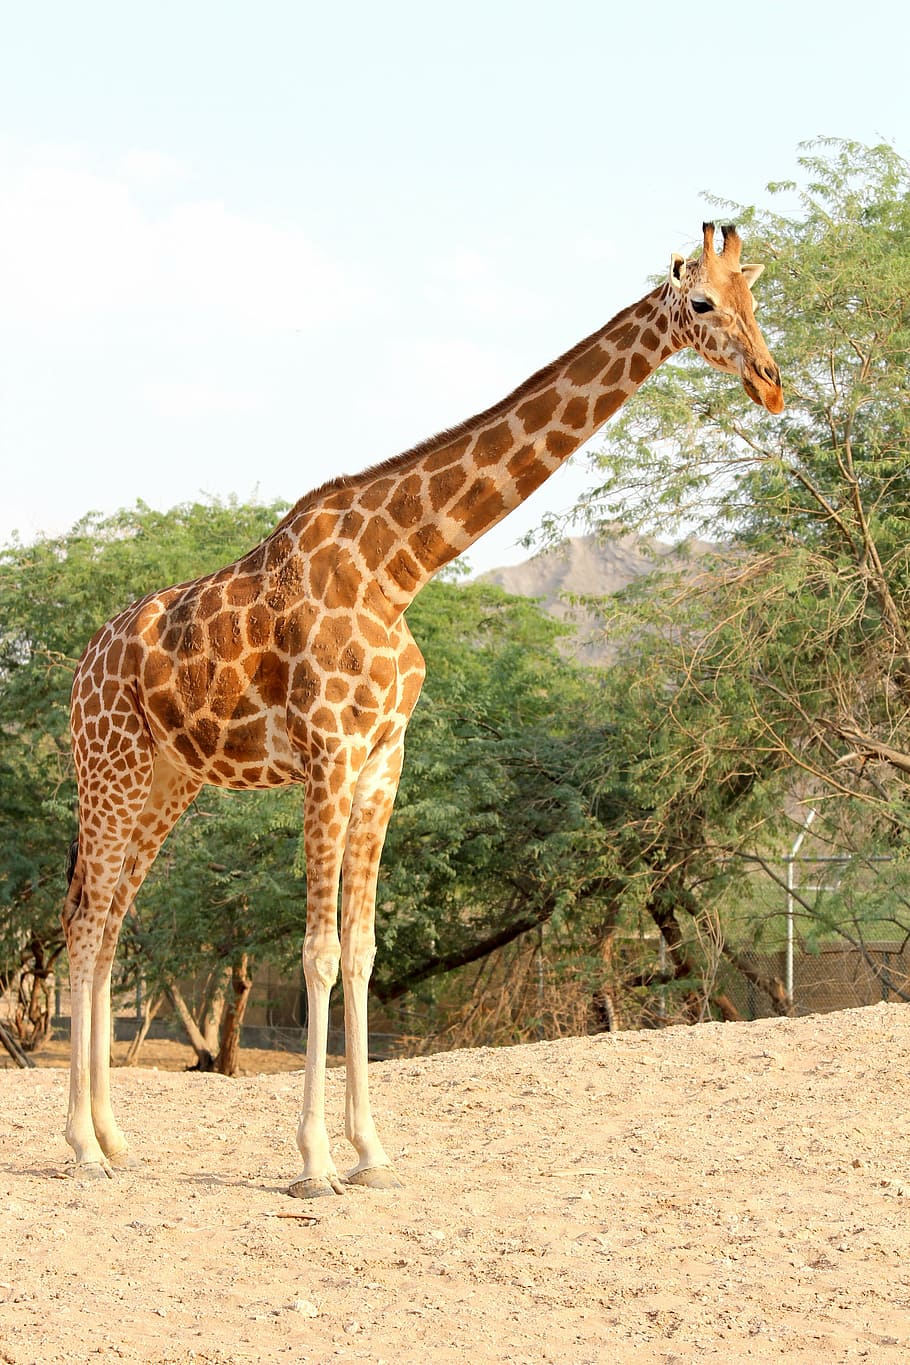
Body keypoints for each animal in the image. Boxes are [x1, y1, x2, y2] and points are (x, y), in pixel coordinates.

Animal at [62, 223, 783, 1196]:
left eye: (753, 296)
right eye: (703, 302)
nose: (772, 383)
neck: (399, 566)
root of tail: (82, 667)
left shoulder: (383, 759)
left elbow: (365, 950)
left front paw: (372, 1152)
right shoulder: (327, 755)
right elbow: (320, 952)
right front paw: (315, 1161)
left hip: (166, 782)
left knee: (108, 927)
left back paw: (116, 1139)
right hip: (108, 771)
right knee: (83, 923)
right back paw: (81, 1145)